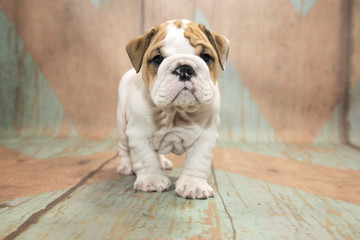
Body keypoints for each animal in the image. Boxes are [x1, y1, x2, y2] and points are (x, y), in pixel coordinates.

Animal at [116, 19, 229, 199]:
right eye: (158, 58)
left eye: (205, 57)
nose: (184, 69)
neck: (176, 111)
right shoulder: (139, 133)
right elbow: (146, 157)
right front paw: (152, 180)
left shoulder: (205, 136)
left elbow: (197, 161)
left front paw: (193, 184)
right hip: (121, 124)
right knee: (124, 148)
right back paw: (126, 165)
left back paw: (162, 162)